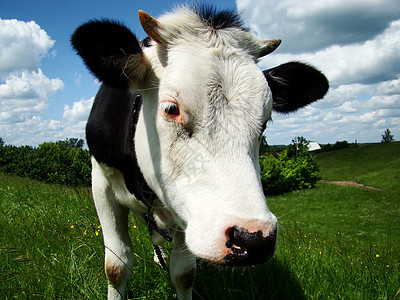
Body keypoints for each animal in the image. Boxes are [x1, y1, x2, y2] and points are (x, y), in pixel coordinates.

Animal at [71, 4, 328, 300]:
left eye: (265, 121)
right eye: (172, 108)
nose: (253, 238)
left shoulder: (186, 211)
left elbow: (183, 274)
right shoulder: (101, 182)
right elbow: (117, 265)